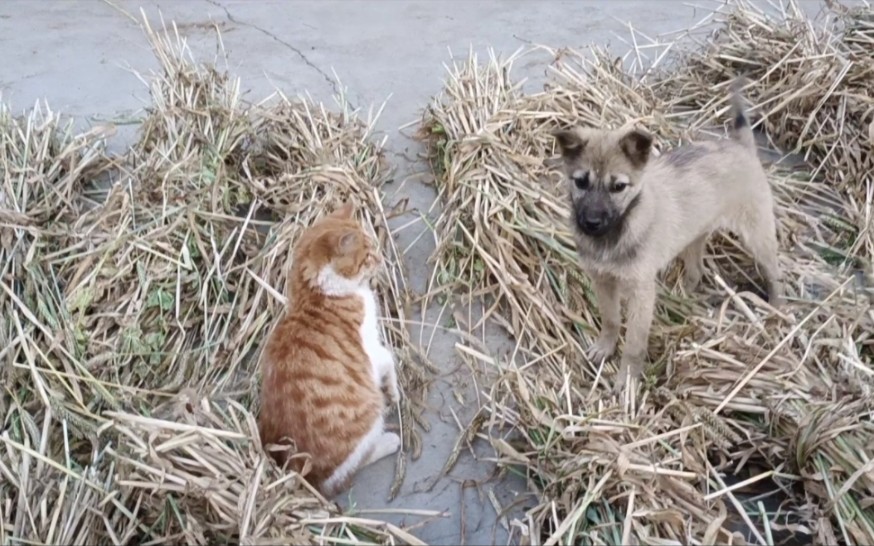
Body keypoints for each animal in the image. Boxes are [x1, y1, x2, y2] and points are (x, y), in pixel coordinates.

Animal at [254, 202, 400, 496]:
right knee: (352, 467)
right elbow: (389, 359)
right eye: (368, 255)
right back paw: (390, 441)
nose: (381, 259)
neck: (317, 293)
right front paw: (394, 391)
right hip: (368, 417)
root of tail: (299, 472)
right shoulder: (371, 350)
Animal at [548, 78, 780, 388]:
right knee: (696, 270)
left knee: (774, 272)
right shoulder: (602, 280)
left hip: (757, 235)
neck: (615, 234)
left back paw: (778, 310)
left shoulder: (641, 292)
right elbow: (610, 318)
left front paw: (627, 380)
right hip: (694, 237)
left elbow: (634, 344)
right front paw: (605, 347)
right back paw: (688, 297)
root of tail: (741, 147)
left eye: (618, 187)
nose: (591, 223)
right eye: (581, 182)